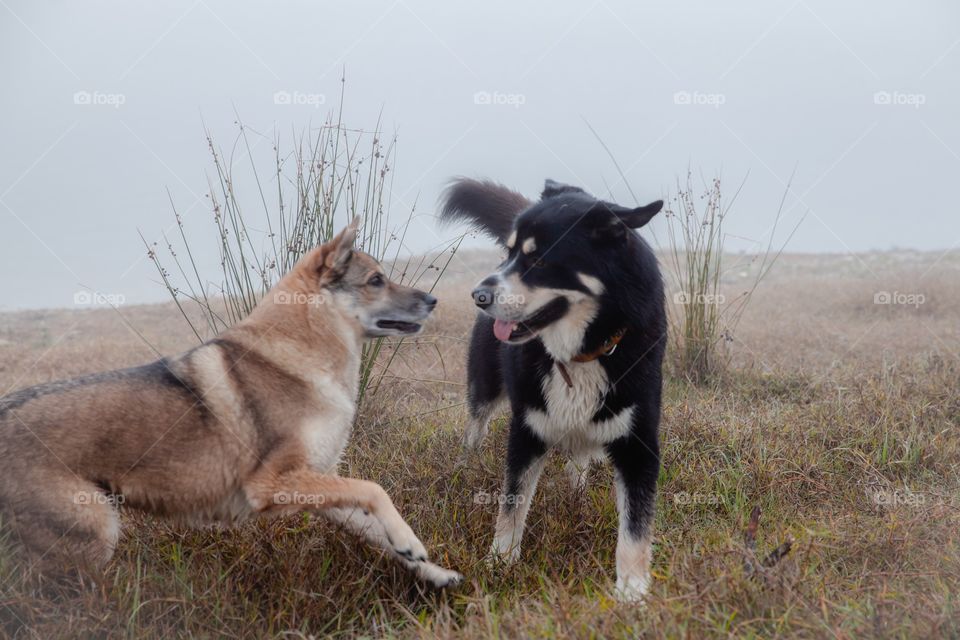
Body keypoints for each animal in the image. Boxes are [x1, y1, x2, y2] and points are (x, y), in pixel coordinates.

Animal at [0, 220, 464, 592]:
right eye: (376, 280)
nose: (433, 301)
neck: (303, 351)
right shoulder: (274, 484)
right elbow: (375, 489)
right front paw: (411, 542)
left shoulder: (319, 483)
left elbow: (377, 528)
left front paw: (431, 570)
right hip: (95, 531)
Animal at [442, 179, 668, 600]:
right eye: (510, 253)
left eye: (541, 262)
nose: (478, 296)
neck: (581, 353)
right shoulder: (527, 430)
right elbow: (512, 506)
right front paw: (499, 563)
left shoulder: (638, 444)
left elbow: (635, 528)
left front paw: (631, 592)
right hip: (485, 390)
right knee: (474, 431)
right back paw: (463, 469)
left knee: (578, 461)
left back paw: (575, 497)